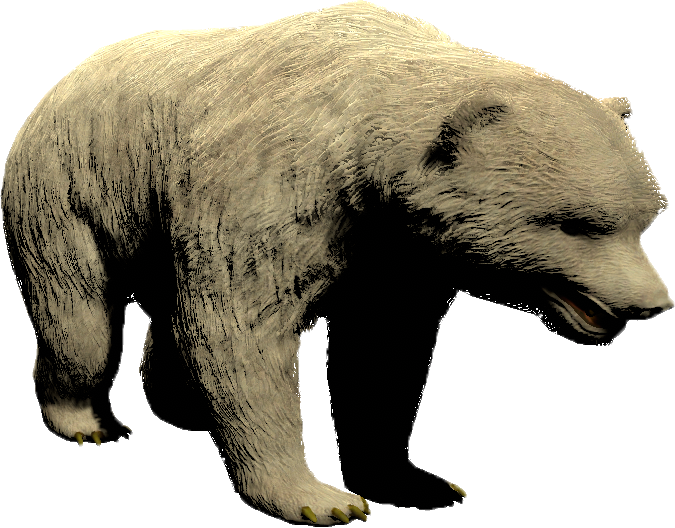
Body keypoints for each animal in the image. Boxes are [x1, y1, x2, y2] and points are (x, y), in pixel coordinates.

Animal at [2, 1, 673, 523]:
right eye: (576, 223)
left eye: (646, 220)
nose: (653, 306)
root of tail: (67, 78)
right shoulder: (269, 191)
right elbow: (242, 332)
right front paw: (320, 498)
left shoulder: (396, 245)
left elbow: (386, 350)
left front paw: (422, 480)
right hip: (68, 187)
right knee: (80, 319)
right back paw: (85, 419)